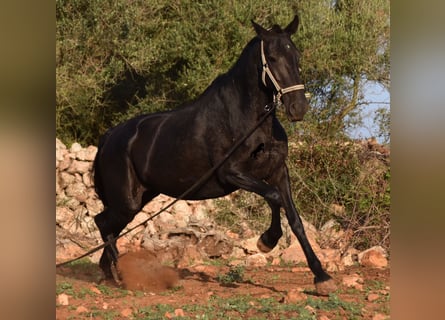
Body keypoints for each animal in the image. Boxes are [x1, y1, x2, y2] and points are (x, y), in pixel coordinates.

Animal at [94, 15, 336, 296]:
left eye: (296, 55)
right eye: (273, 58)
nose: (298, 108)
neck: (249, 121)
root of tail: (110, 136)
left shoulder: (277, 171)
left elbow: (295, 219)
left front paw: (321, 277)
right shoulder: (232, 173)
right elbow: (274, 198)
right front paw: (266, 241)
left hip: (138, 198)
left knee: (110, 226)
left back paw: (109, 274)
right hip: (127, 201)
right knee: (103, 223)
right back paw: (121, 276)